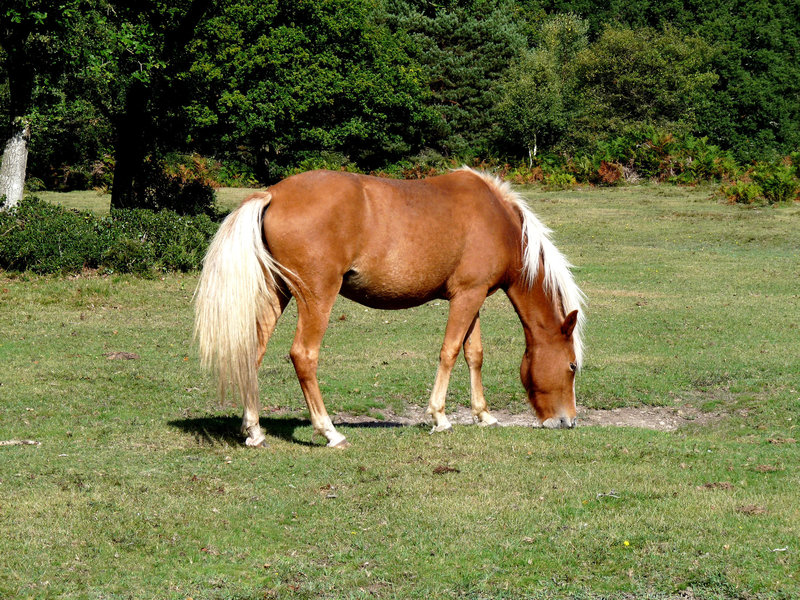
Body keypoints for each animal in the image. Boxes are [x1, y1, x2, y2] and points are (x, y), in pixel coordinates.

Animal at [194, 166, 580, 448]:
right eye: (573, 366)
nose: (568, 420)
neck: (499, 220)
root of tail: (273, 194)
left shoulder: (473, 298)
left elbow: (474, 354)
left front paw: (483, 414)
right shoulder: (467, 296)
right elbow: (450, 352)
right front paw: (439, 417)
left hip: (278, 293)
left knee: (252, 351)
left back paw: (254, 430)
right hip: (316, 296)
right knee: (303, 355)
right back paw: (329, 430)